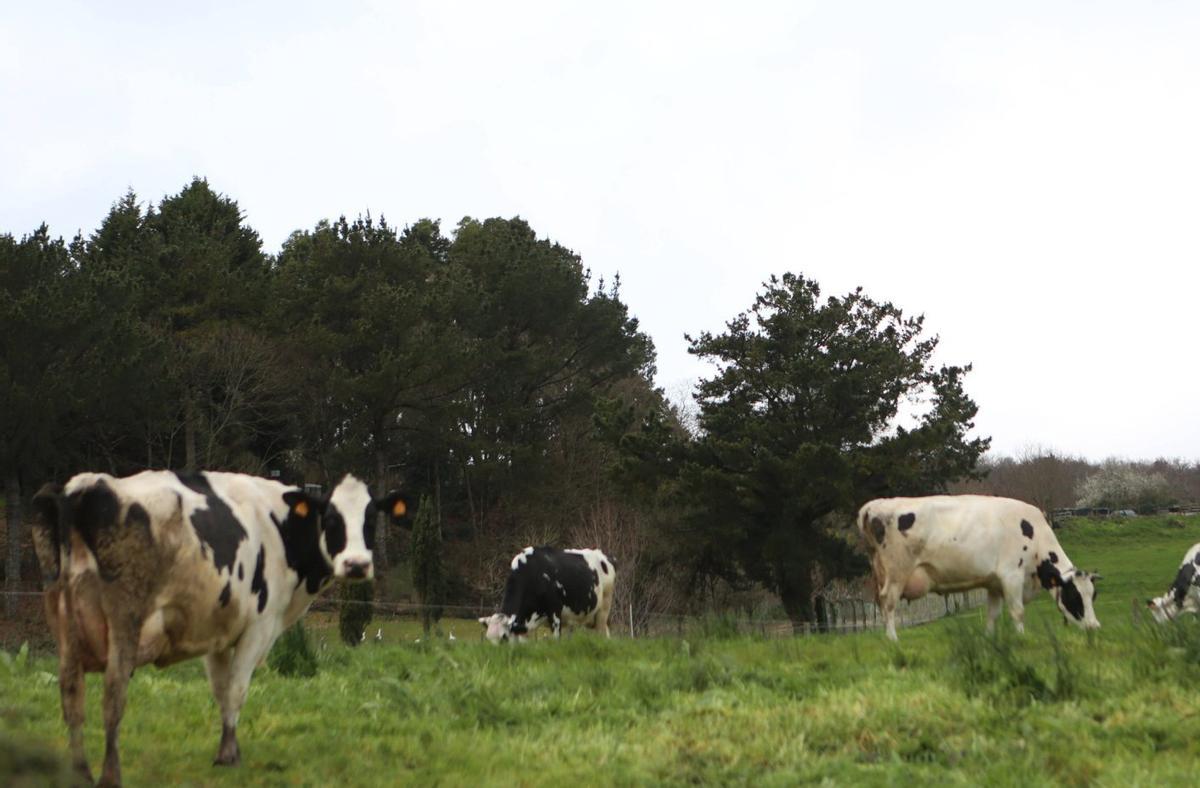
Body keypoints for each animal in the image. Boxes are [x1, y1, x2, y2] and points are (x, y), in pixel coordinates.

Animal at [30, 470, 410, 786]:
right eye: (331, 519)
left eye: (371, 520)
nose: (357, 565)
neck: (279, 526)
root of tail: (83, 486)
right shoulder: (258, 626)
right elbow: (237, 690)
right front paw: (229, 756)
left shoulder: (214, 633)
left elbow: (220, 690)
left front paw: (227, 749)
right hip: (125, 618)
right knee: (112, 696)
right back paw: (110, 775)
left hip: (64, 624)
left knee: (71, 697)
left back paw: (79, 773)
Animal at [478, 546, 616, 644]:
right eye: (487, 639)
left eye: (504, 638)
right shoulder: (523, 625)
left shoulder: (555, 613)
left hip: (604, 609)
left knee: (603, 633)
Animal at [857, 495, 1101, 641]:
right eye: (1074, 596)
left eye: (1093, 596)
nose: (1094, 627)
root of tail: (874, 505)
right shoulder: (1012, 575)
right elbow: (1018, 611)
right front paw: (1022, 637)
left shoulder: (993, 583)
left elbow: (992, 614)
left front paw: (989, 638)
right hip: (897, 572)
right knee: (888, 602)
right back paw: (892, 639)